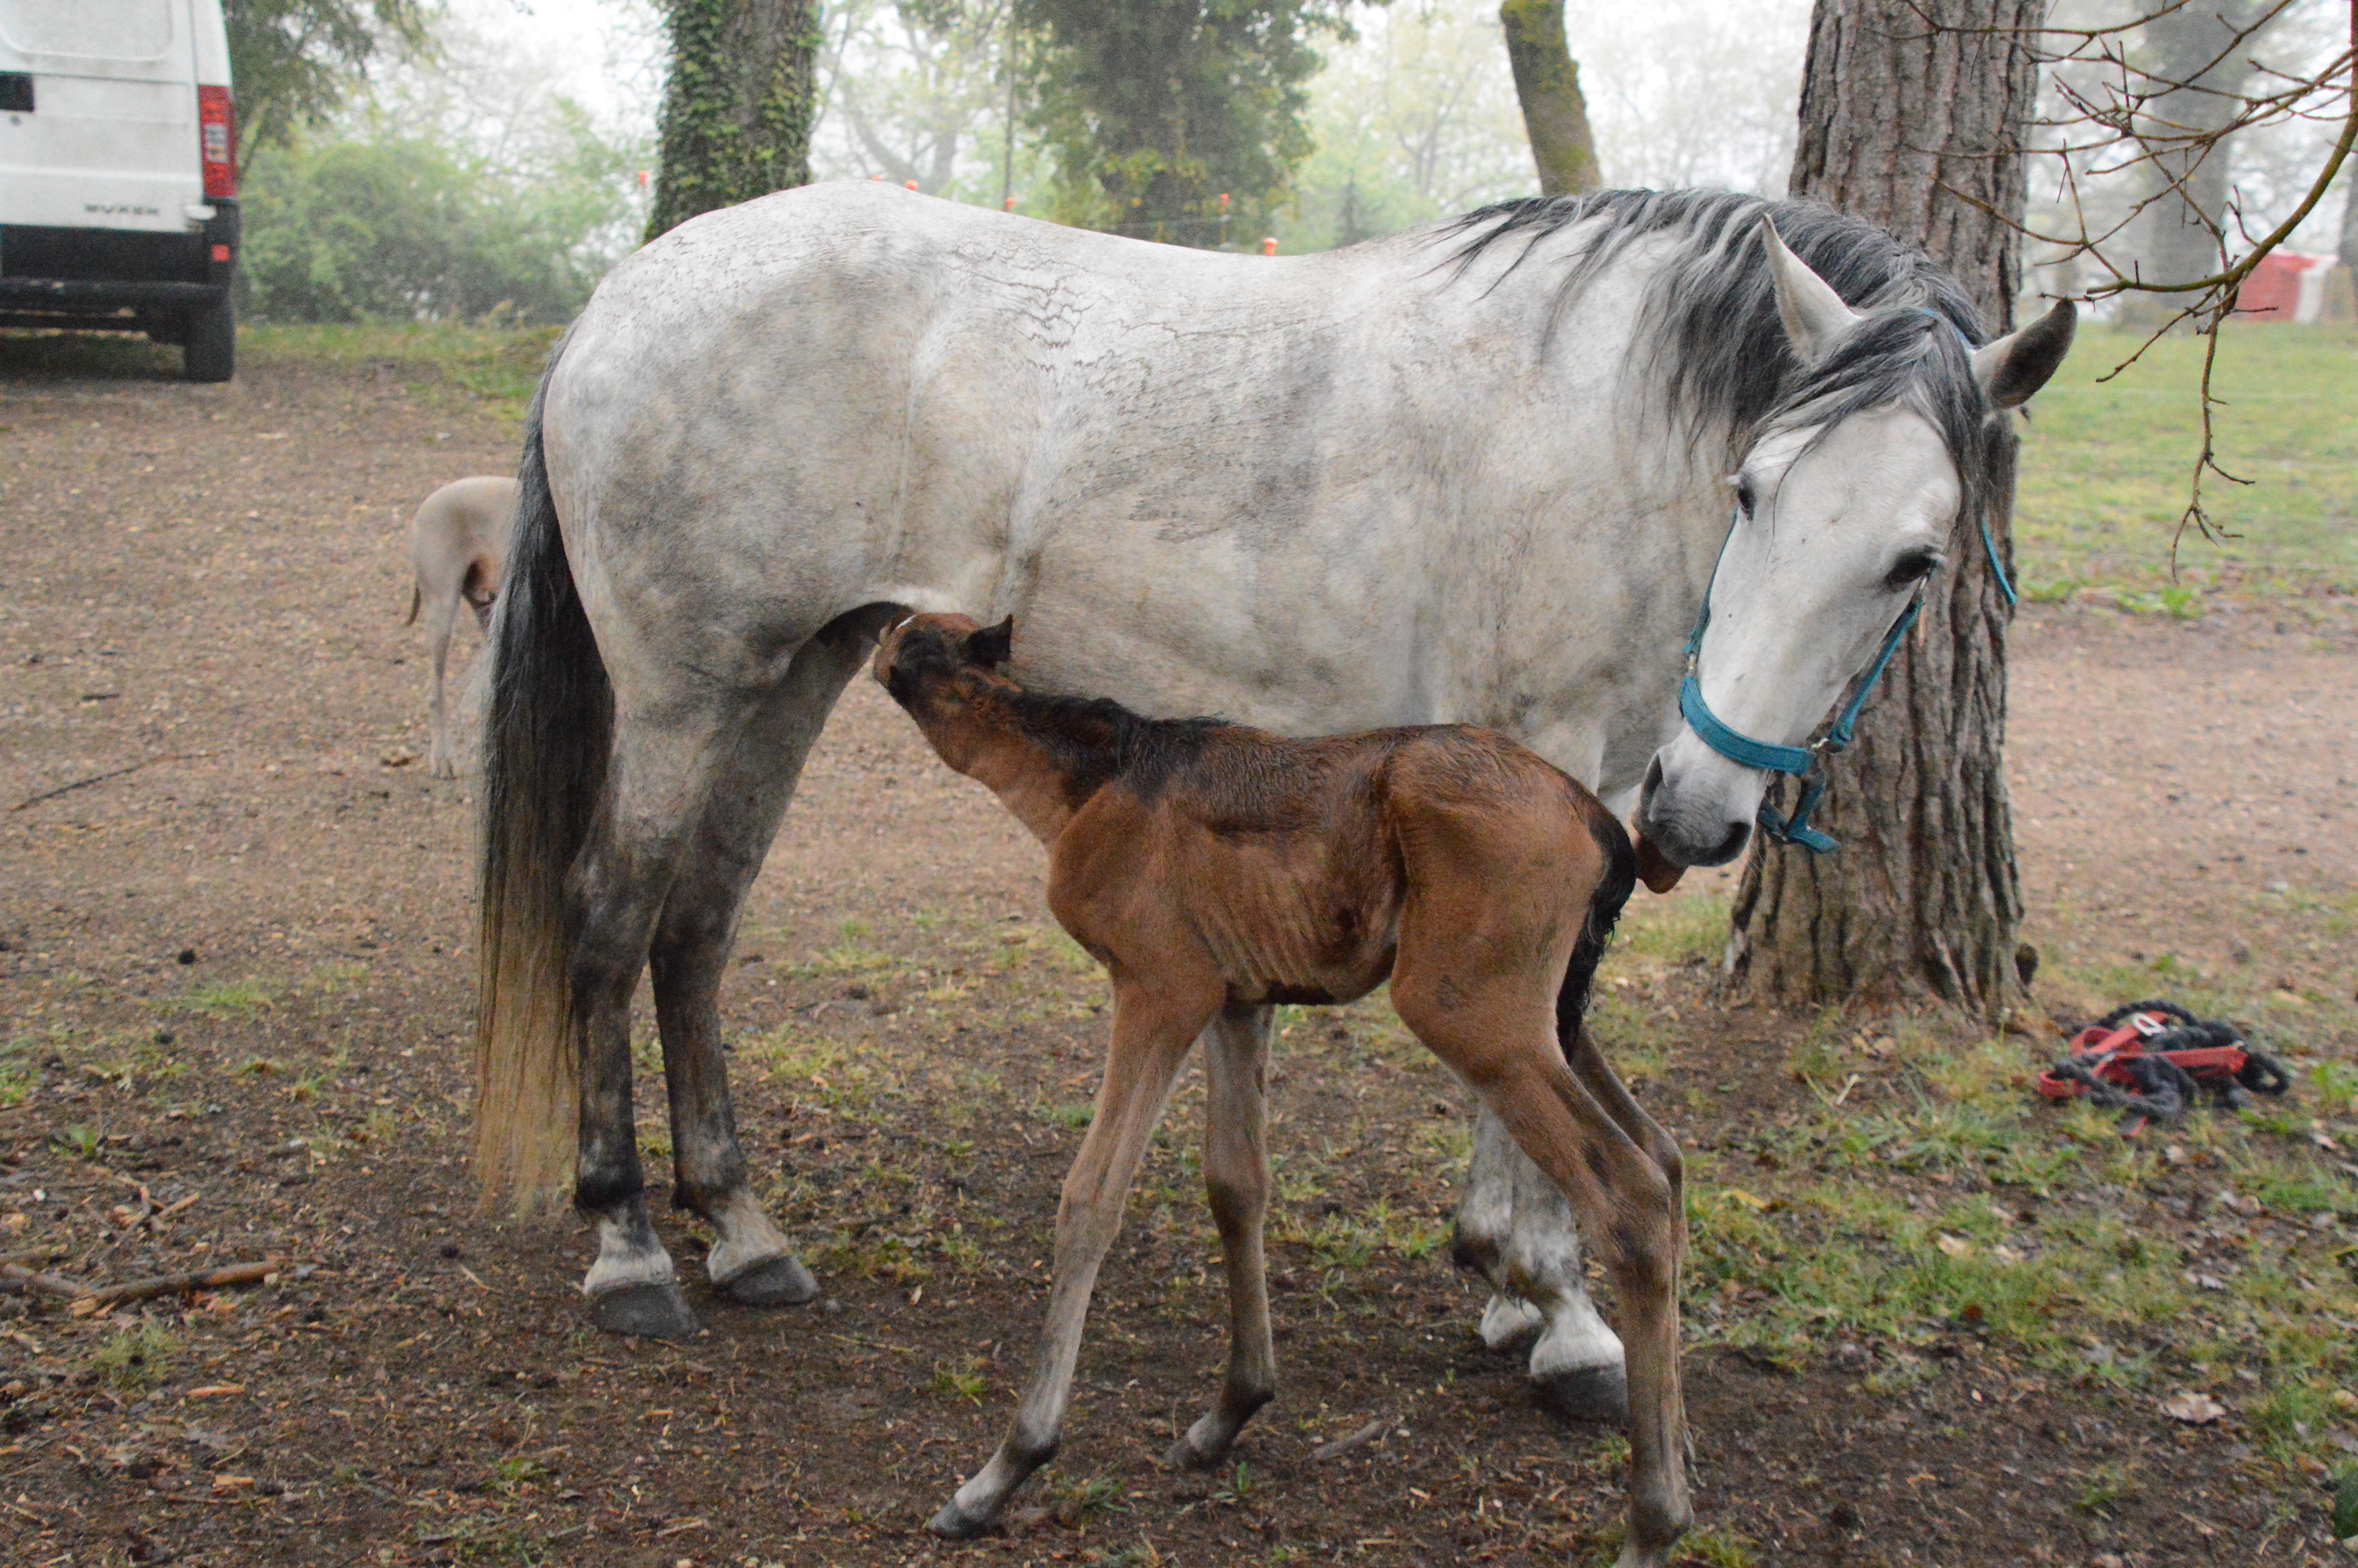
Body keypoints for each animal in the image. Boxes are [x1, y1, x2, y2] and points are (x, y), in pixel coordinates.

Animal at [867, 611, 1681, 1551]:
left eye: (912, 637)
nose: (875, 639)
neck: (1093, 778)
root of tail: (1596, 817)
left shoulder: (1162, 990)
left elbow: (1090, 1198)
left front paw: (1004, 1467)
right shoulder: (1240, 1001)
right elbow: (1236, 1185)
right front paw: (1229, 1412)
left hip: (1475, 1017)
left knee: (1629, 1196)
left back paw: (1654, 1521)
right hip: (1547, 1021)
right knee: (1664, 1157)